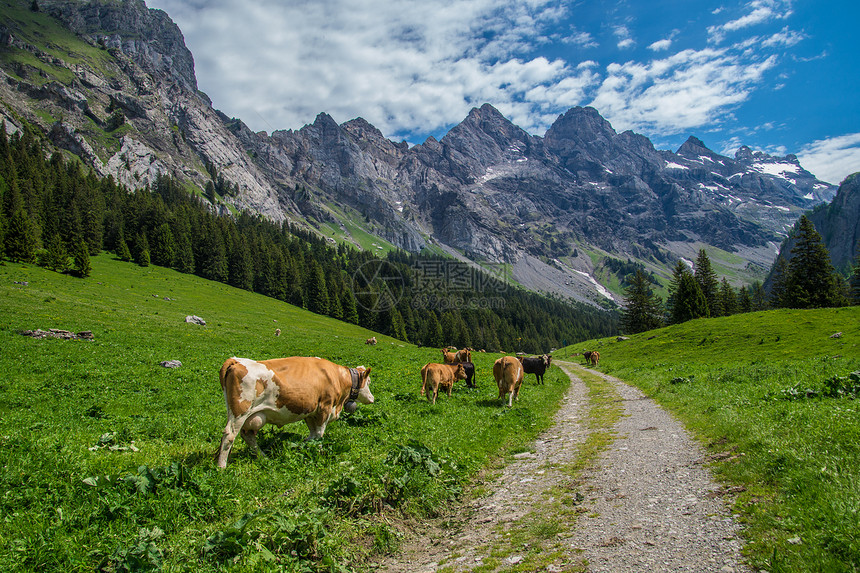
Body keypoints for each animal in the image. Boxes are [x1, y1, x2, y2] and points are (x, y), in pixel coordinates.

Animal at [215, 356, 372, 466]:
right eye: (369, 382)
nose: (372, 398)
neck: (338, 377)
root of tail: (236, 361)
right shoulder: (324, 407)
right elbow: (319, 434)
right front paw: (319, 452)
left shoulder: (311, 411)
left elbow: (313, 434)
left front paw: (305, 446)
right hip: (240, 411)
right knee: (229, 435)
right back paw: (221, 467)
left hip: (252, 416)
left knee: (248, 435)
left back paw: (263, 457)